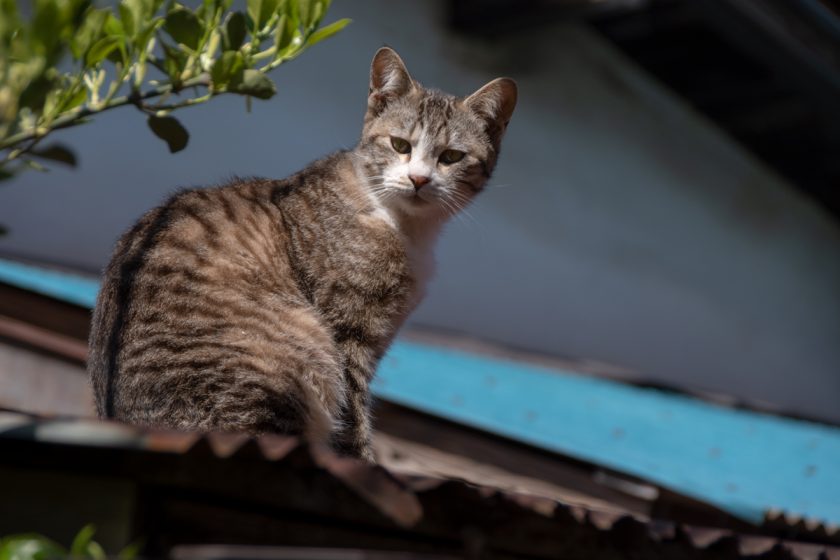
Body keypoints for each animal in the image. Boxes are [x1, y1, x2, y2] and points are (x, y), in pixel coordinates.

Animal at [88, 47, 516, 460]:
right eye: (400, 145)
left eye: (451, 157)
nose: (418, 179)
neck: (400, 222)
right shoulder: (347, 334)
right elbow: (352, 420)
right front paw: (361, 460)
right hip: (284, 368)